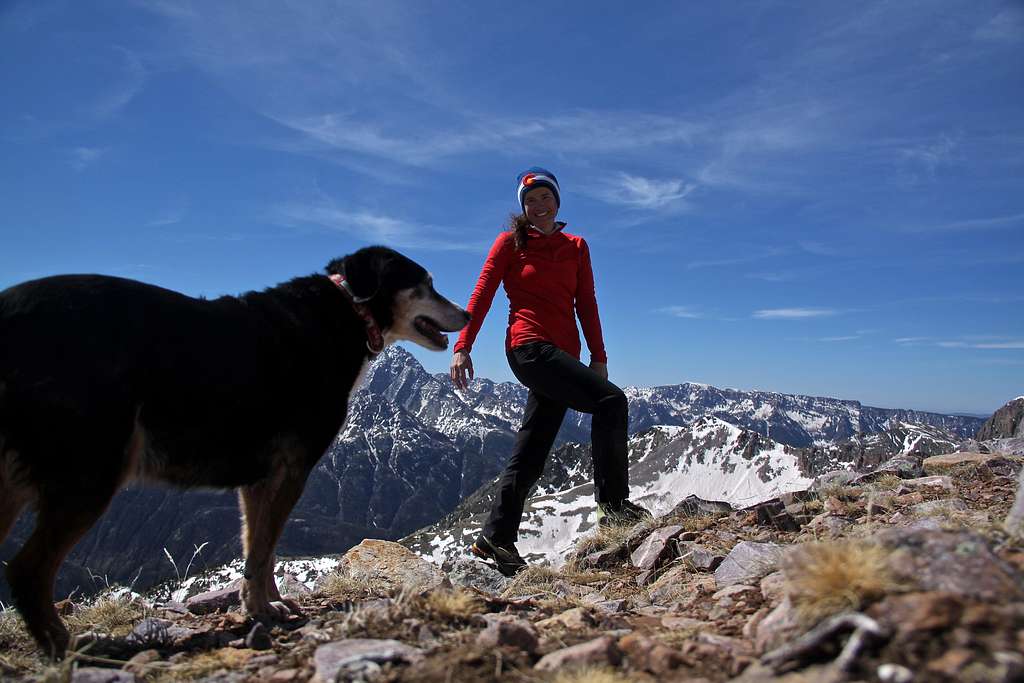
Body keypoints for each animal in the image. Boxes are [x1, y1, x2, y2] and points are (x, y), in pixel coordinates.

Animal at [0, 245, 468, 655]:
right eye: (426, 284)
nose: (466, 315)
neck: (348, 311)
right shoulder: (291, 470)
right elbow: (262, 549)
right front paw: (262, 608)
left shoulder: (259, 480)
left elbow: (259, 546)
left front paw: (264, 602)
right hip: (92, 467)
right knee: (27, 569)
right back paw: (70, 647)